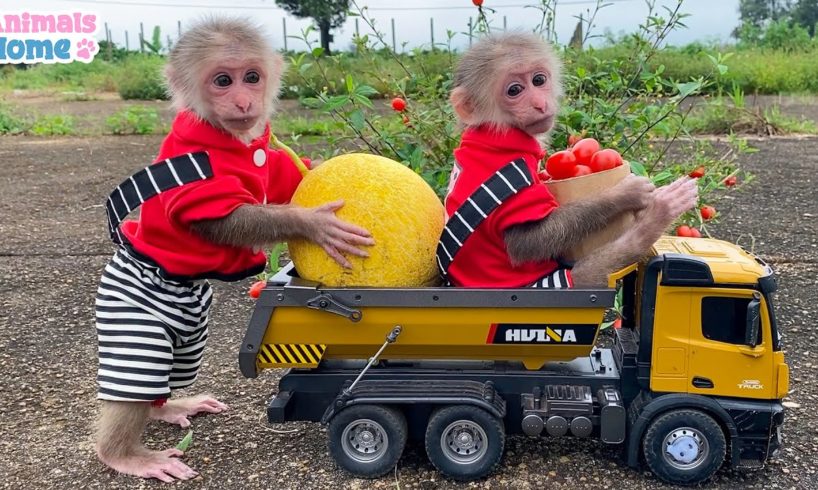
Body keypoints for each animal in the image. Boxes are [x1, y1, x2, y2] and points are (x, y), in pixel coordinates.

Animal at [95, 18, 372, 482]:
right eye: (222, 81)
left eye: (252, 77)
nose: (244, 99)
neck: (232, 139)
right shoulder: (194, 172)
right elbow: (226, 221)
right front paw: (311, 222)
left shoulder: (273, 161)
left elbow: (294, 174)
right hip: (136, 315)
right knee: (139, 375)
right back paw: (124, 455)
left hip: (191, 341)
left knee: (171, 374)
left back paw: (168, 408)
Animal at [446, 33, 696, 288]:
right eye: (514, 90)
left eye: (538, 80)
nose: (539, 103)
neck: (498, 135)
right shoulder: (513, 175)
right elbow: (527, 243)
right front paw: (624, 194)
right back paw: (651, 223)